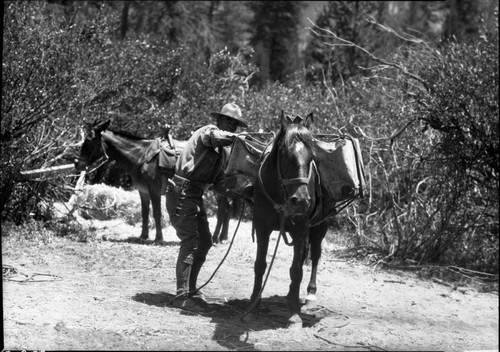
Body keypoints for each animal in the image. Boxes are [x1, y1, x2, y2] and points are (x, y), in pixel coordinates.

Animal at [240, 111, 362, 328]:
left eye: (313, 157)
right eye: (284, 154)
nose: (301, 200)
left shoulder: (300, 230)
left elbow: (297, 270)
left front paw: (295, 314)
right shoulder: (262, 227)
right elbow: (260, 265)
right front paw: (252, 308)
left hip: (320, 227)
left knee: (314, 255)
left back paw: (309, 295)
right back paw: (291, 295)